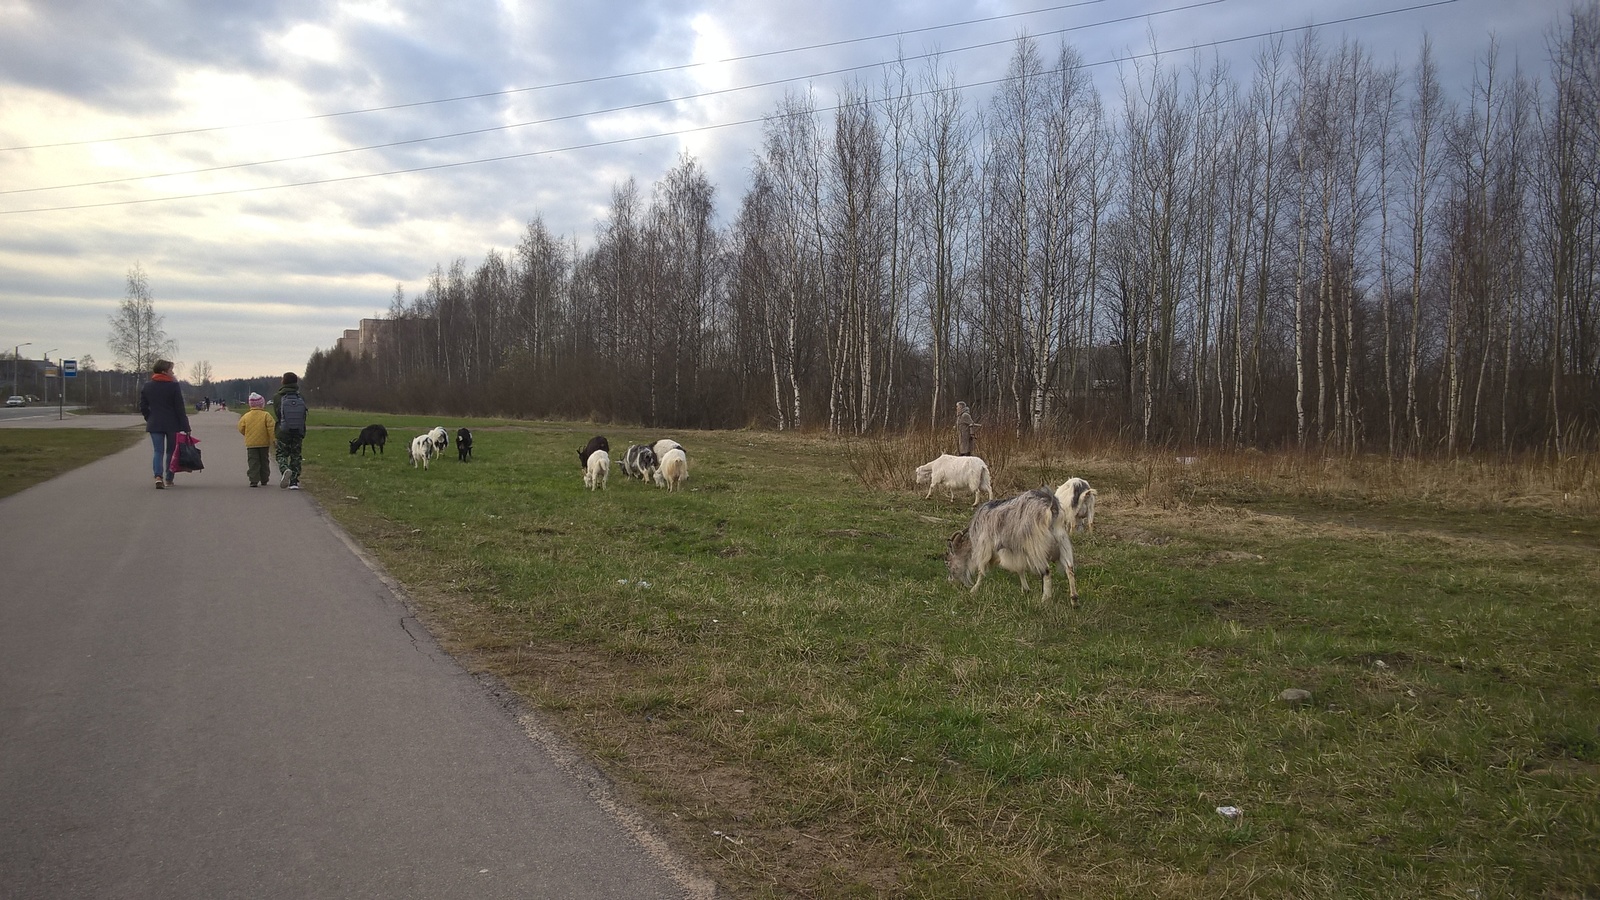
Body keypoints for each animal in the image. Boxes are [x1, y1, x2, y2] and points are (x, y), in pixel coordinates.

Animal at [940, 486, 1081, 605]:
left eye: (947, 562)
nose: (950, 580)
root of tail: (1051, 507)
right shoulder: (1015, 550)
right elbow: (1019, 569)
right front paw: (1025, 589)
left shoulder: (985, 547)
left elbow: (981, 570)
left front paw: (974, 589)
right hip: (1062, 541)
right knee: (1069, 568)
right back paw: (1074, 600)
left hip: (1036, 547)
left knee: (1046, 571)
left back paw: (1045, 599)